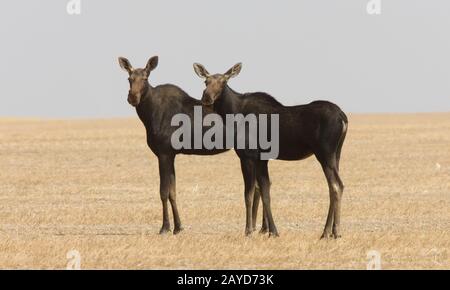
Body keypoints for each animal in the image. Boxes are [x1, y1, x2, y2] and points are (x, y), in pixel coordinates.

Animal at [118, 56, 266, 236]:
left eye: (145, 78)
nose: (132, 97)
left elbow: (163, 192)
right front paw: (178, 227)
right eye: (129, 78)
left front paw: (165, 227)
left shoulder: (164, 153)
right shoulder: (171, 154)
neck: (148, 115)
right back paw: (262, 228)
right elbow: (172, 192)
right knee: (259, 187)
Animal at [193, 62, 348, 239]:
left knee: (336, 185)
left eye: (223, 82)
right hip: (337, 154)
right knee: (333, 186)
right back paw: (328, 231)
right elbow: (264, 190)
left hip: (325, 153)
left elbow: (249, 194)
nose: (206, 97)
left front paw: (249, 230)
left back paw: (333, 231)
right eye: (206, 82)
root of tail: (343, 118)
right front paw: (270, 230)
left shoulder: (247, 156)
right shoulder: (262, 158)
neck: (232, 115)